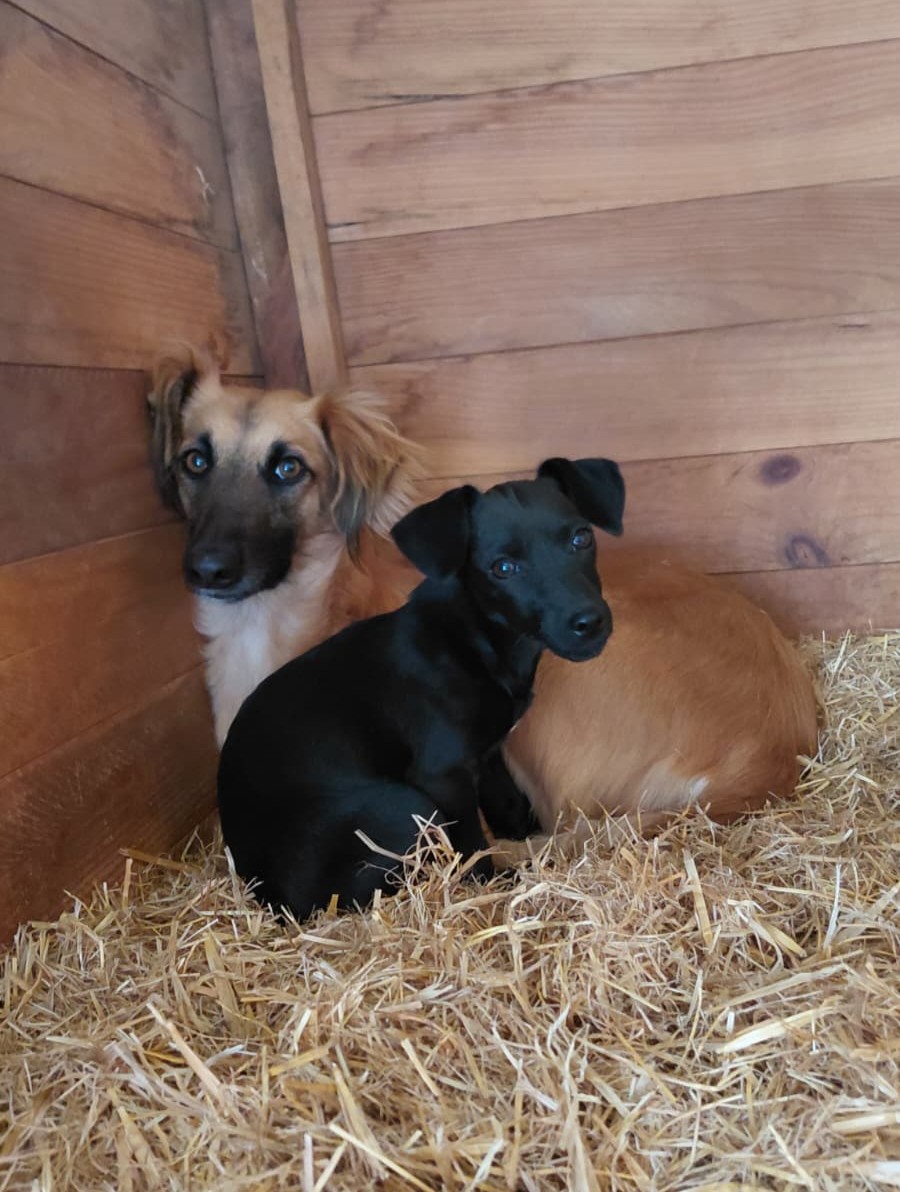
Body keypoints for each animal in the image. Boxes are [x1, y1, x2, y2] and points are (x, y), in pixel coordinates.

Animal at [217, 460, 623, 919]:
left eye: (581, 538)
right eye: (502, 568)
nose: (588, 622)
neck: (476, 639)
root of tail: (273, 899)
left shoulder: (487, 752)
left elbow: (509, 805)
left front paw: (533, 842)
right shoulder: (443, 773)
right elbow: (471, 846)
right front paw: (495, 885)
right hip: (407, 806)